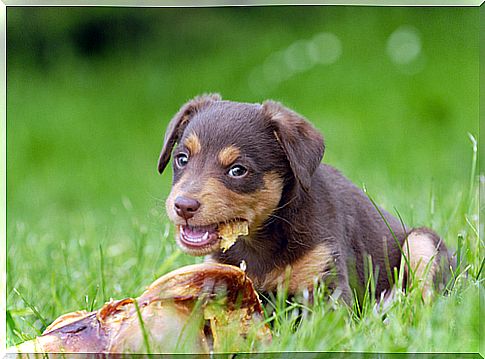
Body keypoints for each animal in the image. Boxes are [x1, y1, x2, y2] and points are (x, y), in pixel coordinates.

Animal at [157, 94, 452, 306]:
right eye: (182, 159)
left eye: (238, 170)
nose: (183, 206)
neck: (260, 240)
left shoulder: (328, 287)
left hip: (421, 243)